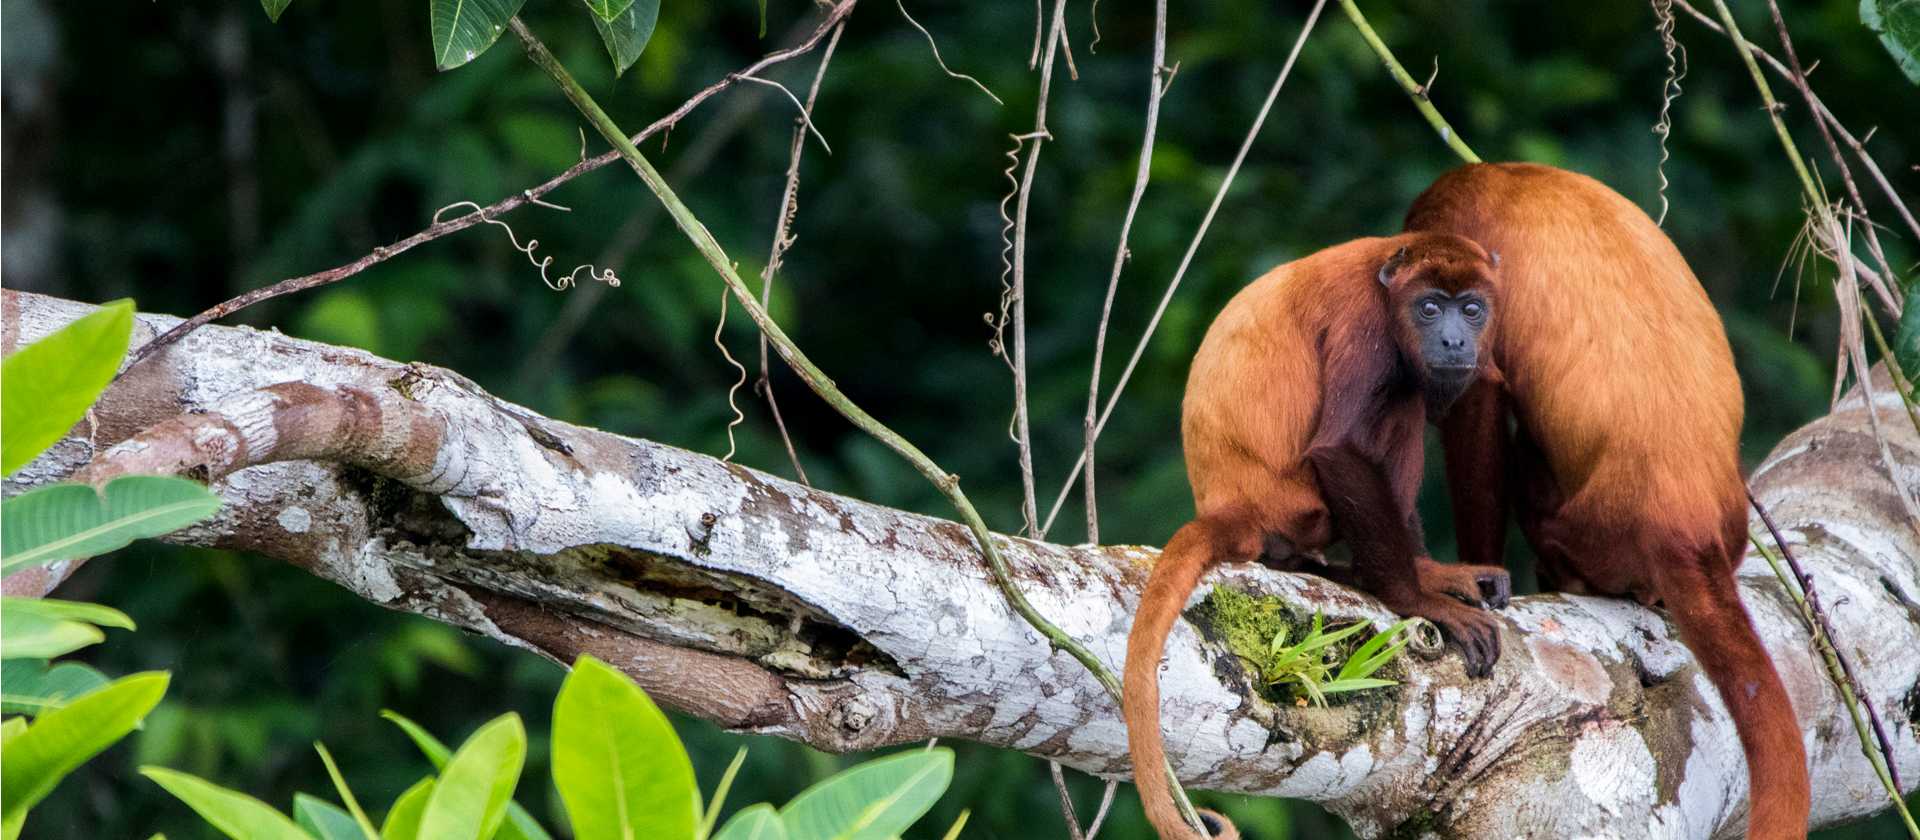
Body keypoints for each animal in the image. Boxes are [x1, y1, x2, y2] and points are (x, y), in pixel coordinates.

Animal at [1123, 233, 1512, 840]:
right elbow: (1341, 447)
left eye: (1471, 309)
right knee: (1401, 401)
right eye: (1429, 308)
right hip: (1296, 508)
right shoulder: (1364, 323)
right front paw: (1416, 597)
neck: (1387, 276)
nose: (1453, 339)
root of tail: (1229, 507)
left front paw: (1434, 577)